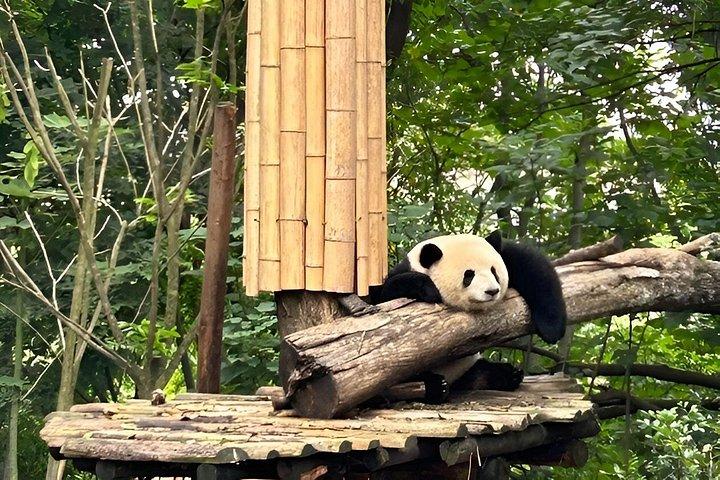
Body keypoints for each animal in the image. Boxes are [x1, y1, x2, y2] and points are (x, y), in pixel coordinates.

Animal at [369, 231, 567, 403]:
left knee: (482, 371)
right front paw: (429, 289)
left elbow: (531, 266)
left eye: (494, 271)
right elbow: (386, 295)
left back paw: (506, 375)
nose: (492, 291)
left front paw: (552, 329)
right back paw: (435, 387)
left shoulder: (509, 258)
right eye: (469, 275)